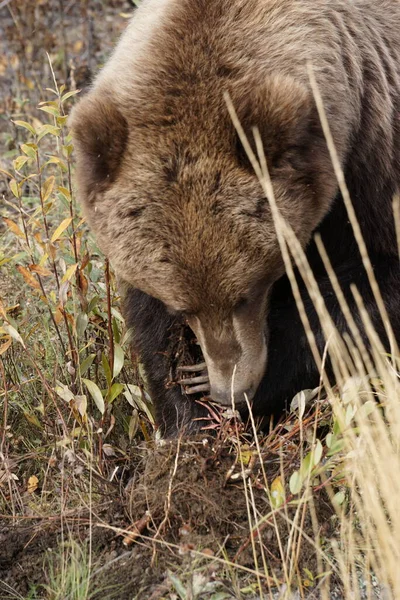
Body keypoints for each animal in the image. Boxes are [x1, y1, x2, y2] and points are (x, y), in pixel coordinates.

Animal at [70, 0, 400, 436]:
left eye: (248, 292)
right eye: (184, 307)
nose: (230, 388)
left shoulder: (375, 160)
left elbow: (365, 292)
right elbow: (152, 329)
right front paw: (186, 412)